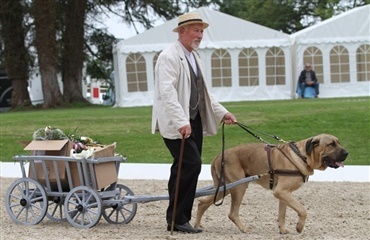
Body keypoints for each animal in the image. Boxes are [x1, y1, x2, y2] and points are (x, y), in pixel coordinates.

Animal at [195, 133, 348, 232]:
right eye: (331, 144)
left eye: (338, 142)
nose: (347, 153)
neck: (303, 156)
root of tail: (218, 155)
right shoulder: (281, 192)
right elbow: (302, 210)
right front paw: (299, 227)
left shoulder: (284, 194)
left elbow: (282, 213)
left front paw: (283, 230)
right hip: (239, 187)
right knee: (232, 213)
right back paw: (244, 229)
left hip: (224, 188)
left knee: (202, 203)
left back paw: (197, 225)